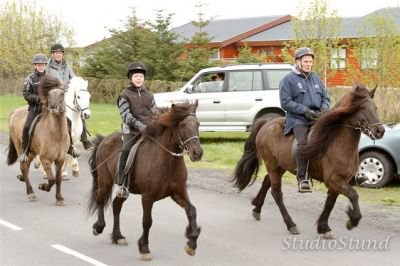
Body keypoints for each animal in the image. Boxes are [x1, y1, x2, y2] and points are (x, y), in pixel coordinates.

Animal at [6, 75, 69, 206]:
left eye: (62, 94)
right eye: (49, 94)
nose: (53, 107)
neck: (57, 134)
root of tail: (15, 112)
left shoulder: (60, 160)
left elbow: (58, 179)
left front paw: (59, 198)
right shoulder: (46, 159)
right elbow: (52, 179)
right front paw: (42, 186)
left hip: (31, 151)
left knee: (27, 166)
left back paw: (22, 179)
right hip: (20, 147)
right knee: (24, 167)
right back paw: (31, 193)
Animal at [87, 101, 203, 260]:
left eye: (198, 124)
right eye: (182, 125)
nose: (198, 153)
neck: (167, 161)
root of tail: (104, 139)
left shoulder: (178, 192)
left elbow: (192, 210)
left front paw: (191, 243)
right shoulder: (148, 197)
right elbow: (147, 221)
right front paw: (144, 248)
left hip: (124, 189)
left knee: (116, 205)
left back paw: (118, 237)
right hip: (105, 181)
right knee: (100, 199)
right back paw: (98, 227)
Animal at [233, 85, 386, 239]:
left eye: (375, 108)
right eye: (362, 109)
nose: (380, 131)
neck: (336, 141)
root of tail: (266, 123)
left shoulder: (339, 181)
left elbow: (330, 203)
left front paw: (324, 228)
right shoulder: (334, 179)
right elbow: (354, 195)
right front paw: (352, 220)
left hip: (280, 166)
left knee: (266, 182)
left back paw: (257, 209)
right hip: (272, 165)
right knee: (276, 193)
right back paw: (291, 224)